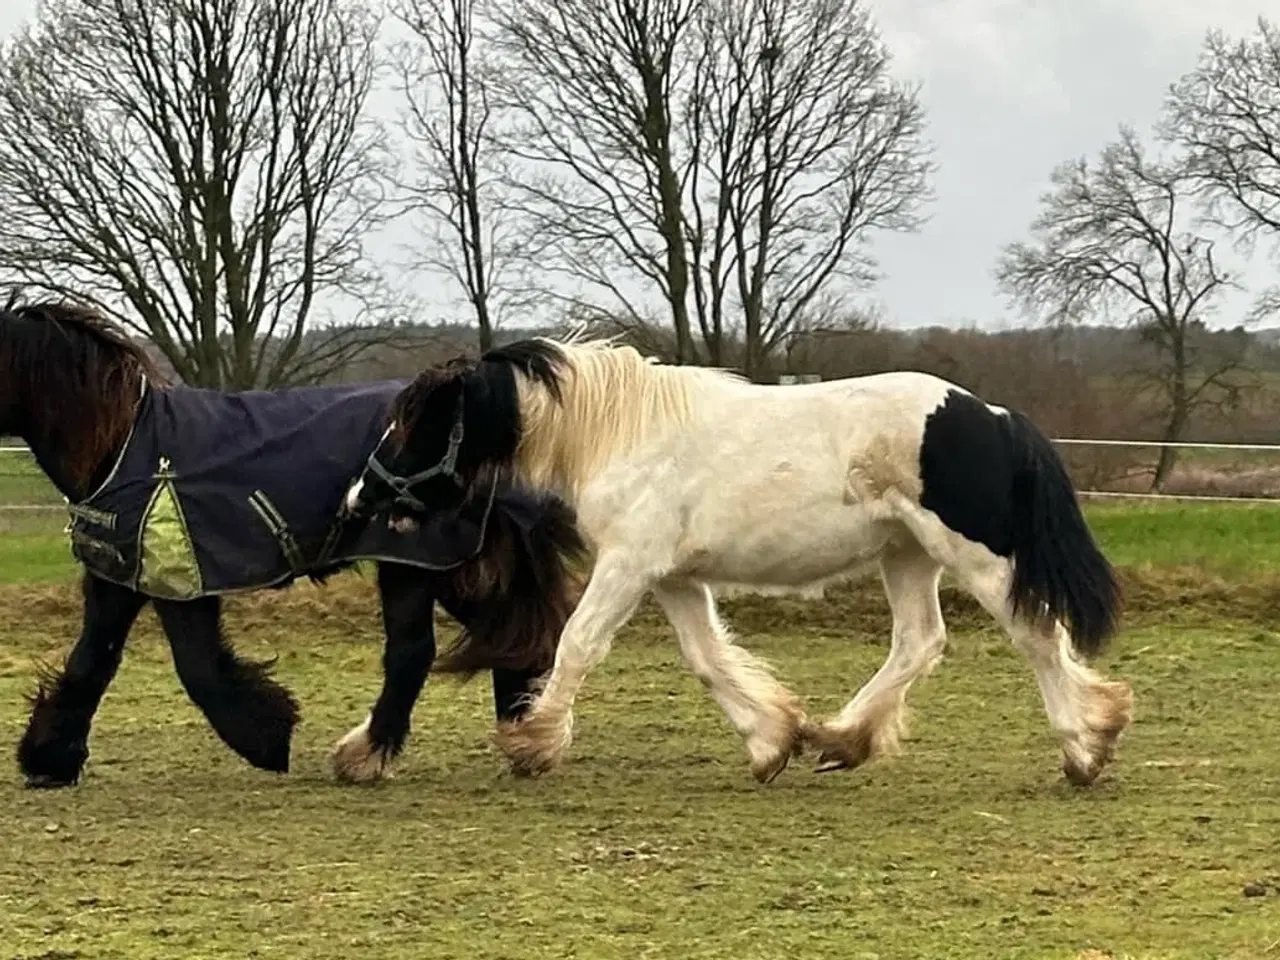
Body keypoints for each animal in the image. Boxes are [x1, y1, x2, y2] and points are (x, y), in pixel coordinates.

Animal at [1, 299, 586, 788]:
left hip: (412, 560)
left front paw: (267, 739)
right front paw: (49, 759)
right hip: (450, 564)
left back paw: (366, 756)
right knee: (511, 636)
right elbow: (91, 662)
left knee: (415, 651)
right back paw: (525, 740)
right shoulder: (120, 577)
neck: (123, 443)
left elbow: (199, 669)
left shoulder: (181, 582)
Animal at [348, 343, 1131, 783]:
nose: (360, 496)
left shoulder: (628, 566)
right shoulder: (673, 579)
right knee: (920, 642)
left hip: (972, 554)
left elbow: (577, 645)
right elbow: (708, 659)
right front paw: (771, 742)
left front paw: (533, 744)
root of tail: (994, 417)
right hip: (905, 555)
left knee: (1036, 634)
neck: (619, 432)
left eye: (415, 422)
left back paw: (1085, 750)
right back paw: (840, 739)